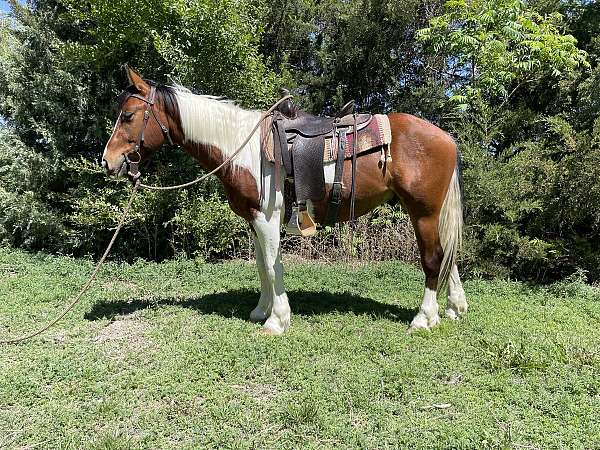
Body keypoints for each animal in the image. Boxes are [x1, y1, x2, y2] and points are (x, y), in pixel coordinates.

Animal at [102, 67, 468, 334]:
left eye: (129, 116)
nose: (107, 161)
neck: (241, 148)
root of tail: (446, 138)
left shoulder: (267, 217)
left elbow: (273, 264)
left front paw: (276, 320)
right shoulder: (253, 219)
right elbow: (262, 264)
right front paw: (261, 310)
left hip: (423, 212)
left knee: (434, 258)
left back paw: (424, 317)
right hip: (431, 214)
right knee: (447, 255)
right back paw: (453, 308)